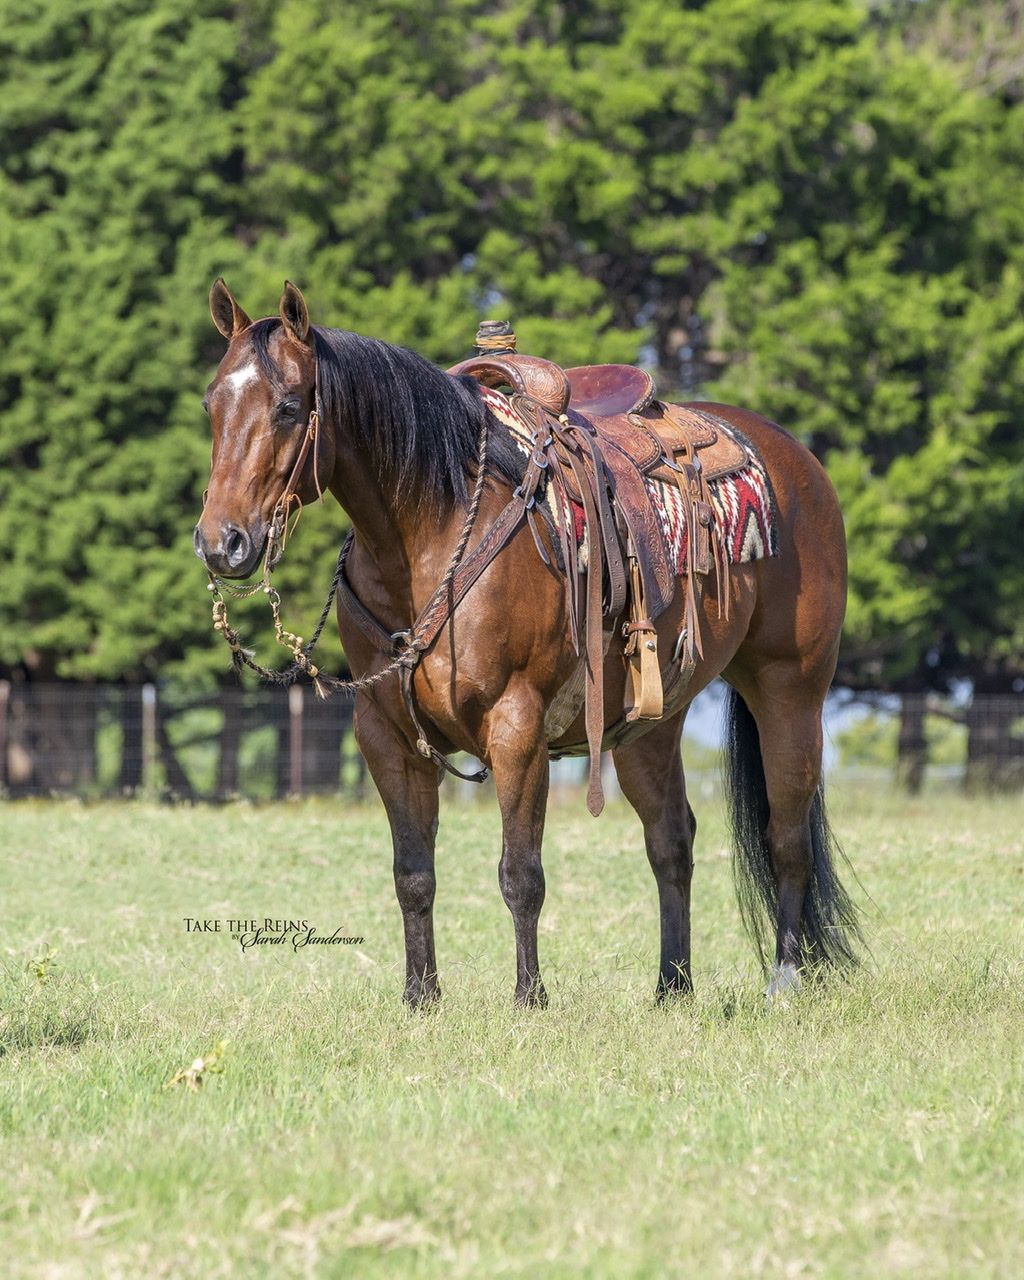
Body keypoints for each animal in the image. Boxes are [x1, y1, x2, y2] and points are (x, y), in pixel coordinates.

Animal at [192, 280, 855, 1008]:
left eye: (288, 406)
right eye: (211, 403)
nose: (221, 543)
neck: (433, 528)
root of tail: (796, 458)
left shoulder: (518, 726)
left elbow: (520, 875)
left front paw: (529, 999)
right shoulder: (387, 737)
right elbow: (412, 875)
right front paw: (421, 999)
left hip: (790, 690)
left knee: (786, 837)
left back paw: (784, 982)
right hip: (652, 723)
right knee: (671, 841)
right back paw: (671, 988)